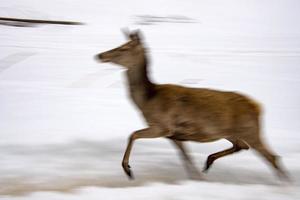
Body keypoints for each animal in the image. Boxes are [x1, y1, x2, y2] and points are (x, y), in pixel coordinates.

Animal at [95, 29, 290, 181]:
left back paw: (284, 184)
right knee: (243, 146)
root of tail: (259, 107)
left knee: (272, 157)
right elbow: (186, 158)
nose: (100, 55)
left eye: (124, 47)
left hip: (250, 130)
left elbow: (133, 134)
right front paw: (195, 177)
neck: (148, 100)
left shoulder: (163, 126)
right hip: (232, 132)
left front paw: (127, 169)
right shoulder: (174, 135)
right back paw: (209, 161)